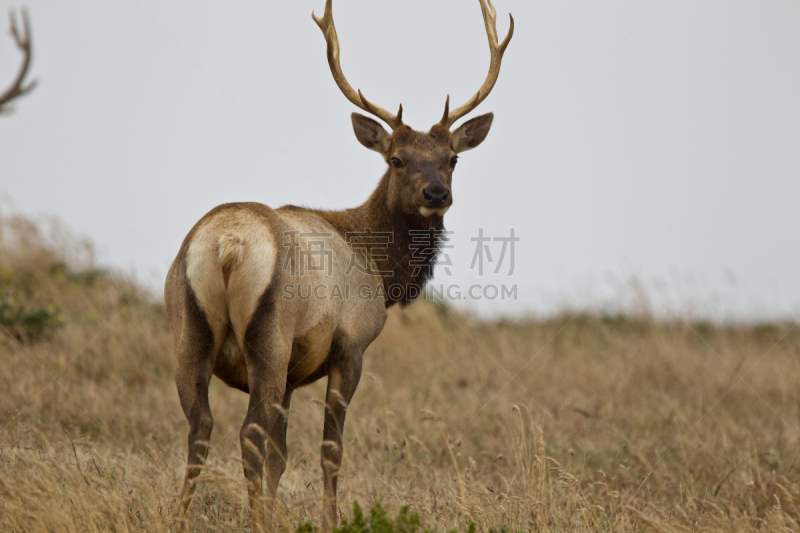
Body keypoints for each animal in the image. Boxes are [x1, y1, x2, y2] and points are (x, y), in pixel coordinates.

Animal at [166, 2, 516, 528]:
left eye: (452, 157)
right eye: (396, 159)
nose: (437, 194)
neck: (381, 271)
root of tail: (226, 245)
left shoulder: (294, 373)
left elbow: (282, 456)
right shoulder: (351, 344)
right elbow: (330, 450)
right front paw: (330, 520)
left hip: (188, 330)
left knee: (201, 426)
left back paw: (181, 517)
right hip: (269, 335)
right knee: (247, 434)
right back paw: (254, 522)